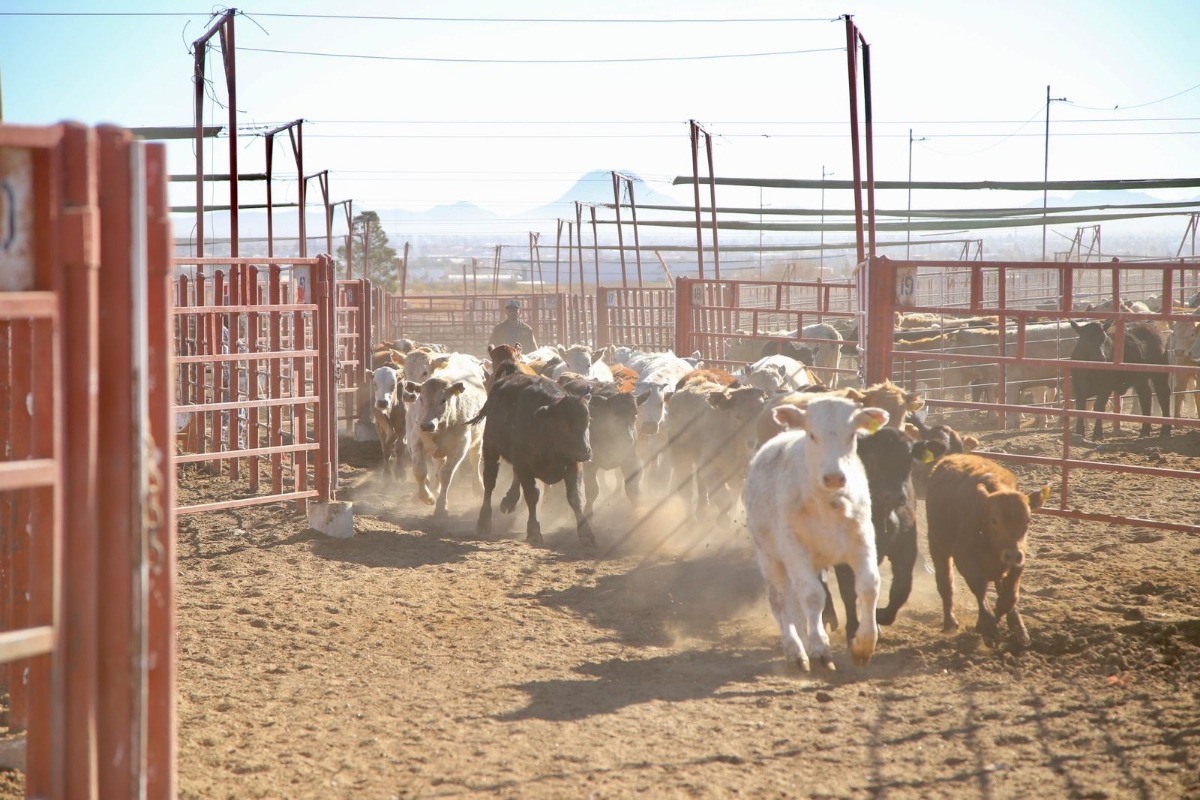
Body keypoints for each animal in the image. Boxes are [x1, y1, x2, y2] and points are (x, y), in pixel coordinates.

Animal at [404, 363, 488, 517]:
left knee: (475, 459)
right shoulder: (416, 439)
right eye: (421, 399)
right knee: (438, 465)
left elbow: (446, 475)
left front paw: (441, 506)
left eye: (443, 400)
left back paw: (478, 488)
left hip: (478, 439)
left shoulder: (459, 447)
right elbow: (419, 470)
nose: (427, 425)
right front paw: (427, 497)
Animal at [473, 372, 595, 546]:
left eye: (588, 421)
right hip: (490, 447)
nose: (585, 452)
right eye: (563, 425)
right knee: (489, 483)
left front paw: (586, 533)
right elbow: (532, 495)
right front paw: (533, 531)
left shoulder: (574, 465)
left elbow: (575, 497)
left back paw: (509, 500)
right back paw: (484, 522)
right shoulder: (524, 466)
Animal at [742, 396, 890, 670]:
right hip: (768, 556)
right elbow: (812, 596)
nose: (834, 477)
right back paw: (796, 650)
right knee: (780, 600)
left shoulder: (862, 538)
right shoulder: (794, 547)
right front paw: (820, 648)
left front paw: (864, 645)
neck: (825, 504)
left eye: (852, 434)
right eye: (812, 434)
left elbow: (868, 585)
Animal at [925, 453, 1049, 647]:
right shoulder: (966, 559)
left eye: (1028, 520)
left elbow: (1009, 597)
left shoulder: (1018, 562)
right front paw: (988, 629)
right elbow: (980, 589)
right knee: (946, 582)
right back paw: (950, 622)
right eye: (994, 520)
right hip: (937, 546)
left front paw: (996, 625)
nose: (1012, 554)